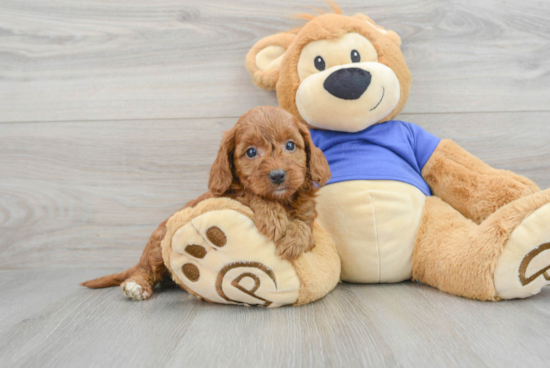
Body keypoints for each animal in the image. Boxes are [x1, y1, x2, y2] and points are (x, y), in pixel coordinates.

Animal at [82, 105, 332, 300]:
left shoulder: (308, 217)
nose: (278, 175)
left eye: (290, 145)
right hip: (158, 244)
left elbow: (304, 227)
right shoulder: (227, 195)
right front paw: (273, 217)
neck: (283, 200)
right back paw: (137, 285)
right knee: (147, 270)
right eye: (251, 152)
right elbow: (250, 193)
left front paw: (294, 240)